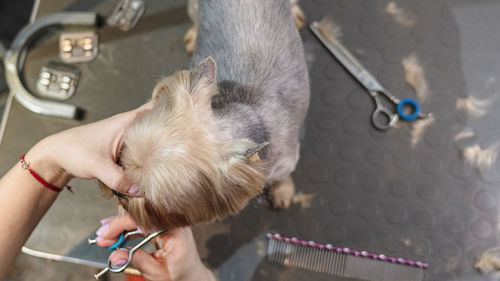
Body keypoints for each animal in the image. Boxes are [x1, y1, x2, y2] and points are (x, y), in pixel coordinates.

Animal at [115, 0, 308, 231]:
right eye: (122, 163)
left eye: (149, 200)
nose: (118, 193)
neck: (247, 114)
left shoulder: (287, 156)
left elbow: (284, 174)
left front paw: (282, 189)